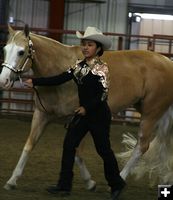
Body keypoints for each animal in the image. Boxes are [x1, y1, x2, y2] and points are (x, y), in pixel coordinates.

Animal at [0, 24, 173, 189]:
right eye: (5, 49)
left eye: (21, 52)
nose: (3, 81)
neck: (58, 66)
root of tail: (168, 62)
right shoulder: (41, 115)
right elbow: (28, 146)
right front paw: (12, 180)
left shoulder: (78, 119)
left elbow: (76, 153)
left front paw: (89, 182)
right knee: (163, 146)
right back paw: (165, 179)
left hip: (151, 113)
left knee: (142, 147)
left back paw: (121, 179)